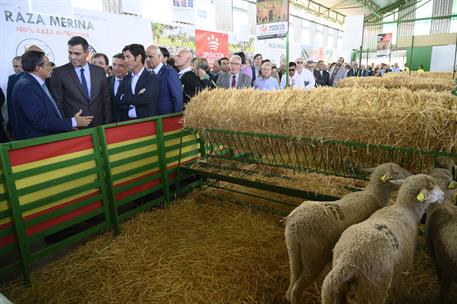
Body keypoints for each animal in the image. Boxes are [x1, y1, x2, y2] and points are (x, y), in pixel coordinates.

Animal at [282, 162, 410, 304]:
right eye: (397, 172)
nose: (411, 176)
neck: (374, 194)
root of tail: (294, 228)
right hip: (314, 258)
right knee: (297, 287)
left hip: (294, 255)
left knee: (293, 278)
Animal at [320, 173, 442, 304]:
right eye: (431, 187)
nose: (443, 195)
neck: (405, 209)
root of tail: (348, 260)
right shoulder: (400, 270)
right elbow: (395, 291)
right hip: (374, 289)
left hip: (341, 288)